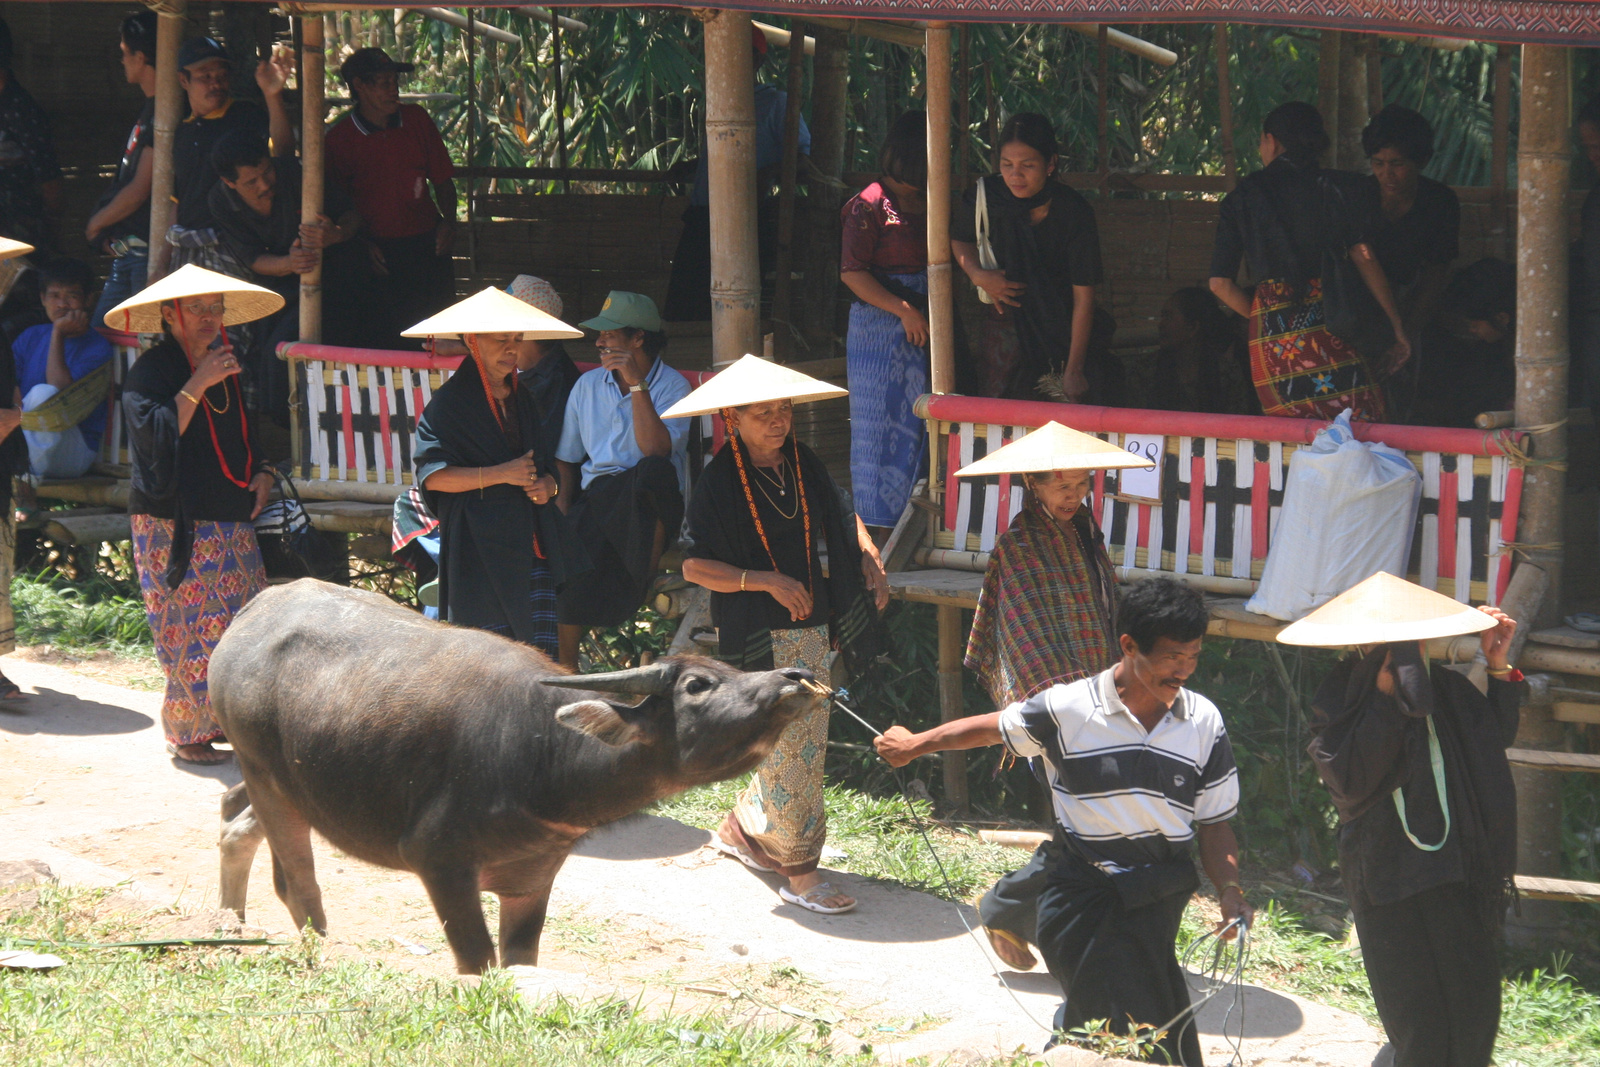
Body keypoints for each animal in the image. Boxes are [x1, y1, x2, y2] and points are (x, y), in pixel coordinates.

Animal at [204, 579, 819, 972]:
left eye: (727, 668)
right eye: (697, 685)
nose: (793, 677)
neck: (536, 760)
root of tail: (249, 613)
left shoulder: (532, 880)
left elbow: (521, 958)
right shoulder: (439, 864)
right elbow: (478, 962)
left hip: (286, 785)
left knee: (235, 820)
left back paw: (230, 922)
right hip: (265, 775)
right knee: (297, 882)